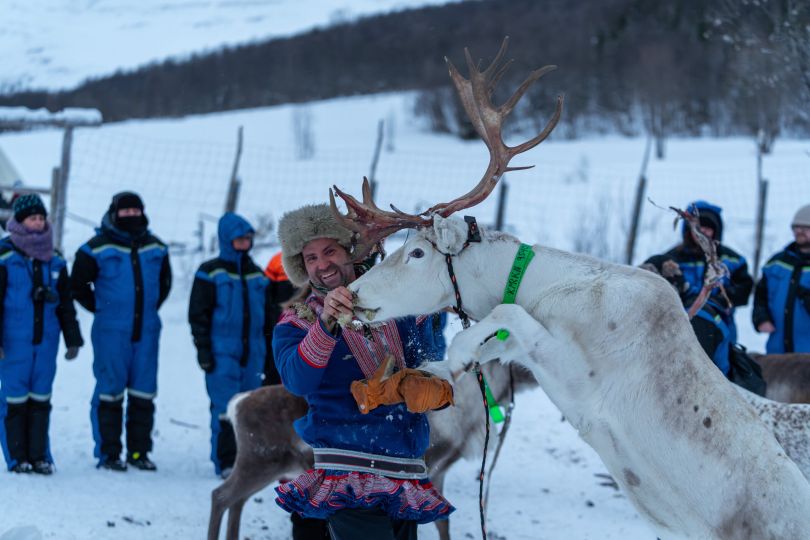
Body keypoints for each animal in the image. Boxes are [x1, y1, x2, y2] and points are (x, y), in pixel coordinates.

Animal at [207, 362, 538, 540]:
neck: (466, 418)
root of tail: (236, 404)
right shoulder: (426, 469)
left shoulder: (440, 472)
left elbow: (443, 522)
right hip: (258, 461)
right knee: (221, 495)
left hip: (267, 466)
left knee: (236, 500)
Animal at [328, 39, 810, 538]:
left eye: (418, 253)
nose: (355, 293)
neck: (541, 286)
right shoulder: (530, 353)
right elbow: (488, 345)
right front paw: (428, 372)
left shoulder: (577, 378)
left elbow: (503, 317)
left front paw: (458, 352)